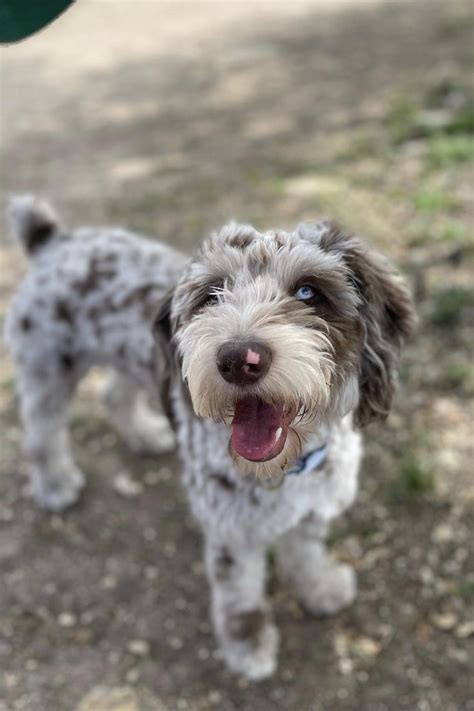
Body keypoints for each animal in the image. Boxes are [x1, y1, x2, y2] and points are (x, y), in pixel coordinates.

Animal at [6, 195, 414, 680]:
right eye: (211, 294)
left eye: (308, 292)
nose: (240, 359)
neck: (286, 470)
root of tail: (51, 238)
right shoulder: (231, 533)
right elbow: (240, 598)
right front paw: (248, 647)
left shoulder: (312, 512)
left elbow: (306, 556)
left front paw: (321, 590)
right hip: (47, 368)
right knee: (42, 433)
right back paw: (56, 485)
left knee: (113, 394)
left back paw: (146, 435)